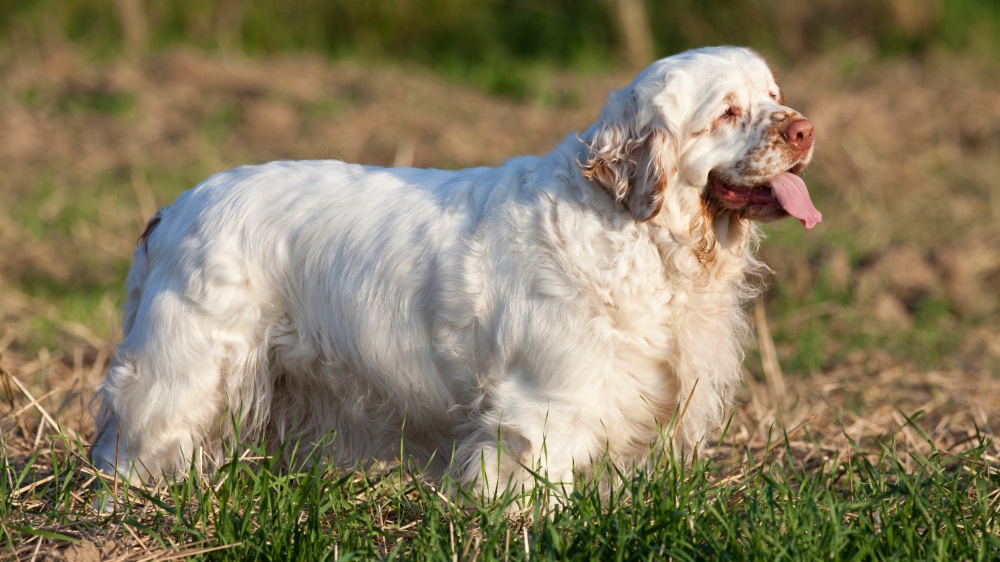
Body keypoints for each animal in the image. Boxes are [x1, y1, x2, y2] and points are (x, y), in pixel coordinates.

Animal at [90, 47, 816, 504]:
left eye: (775, 97)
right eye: (727, 112)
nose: (806, 130)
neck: (640, 238)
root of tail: (174, 208)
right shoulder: (542, 409)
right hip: (183, 374)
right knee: (129, 450)